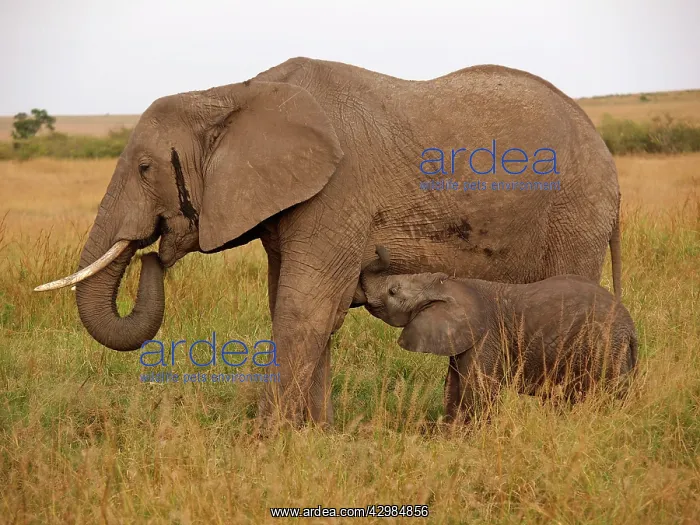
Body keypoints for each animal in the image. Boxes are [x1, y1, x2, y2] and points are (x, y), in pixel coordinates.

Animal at [355, 246, 638, 423]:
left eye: (392, 291)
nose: (379, 247)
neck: (451, 284)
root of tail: (631, 328)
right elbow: (452, 387)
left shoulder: (486, 336)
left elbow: (477, 390)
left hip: (605, 349)